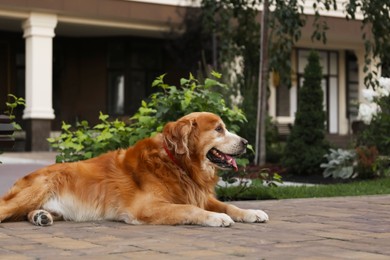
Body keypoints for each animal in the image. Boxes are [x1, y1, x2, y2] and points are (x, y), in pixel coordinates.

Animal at [0, 112, 268, 226]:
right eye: (219, 129)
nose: (246, 142)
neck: (178, 164)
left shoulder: (200, 195)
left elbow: (229, 205)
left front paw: (252, 212)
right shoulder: (146, 207)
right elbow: (189, 209)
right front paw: (216, 218)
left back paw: (41, 216)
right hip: (37, 189)